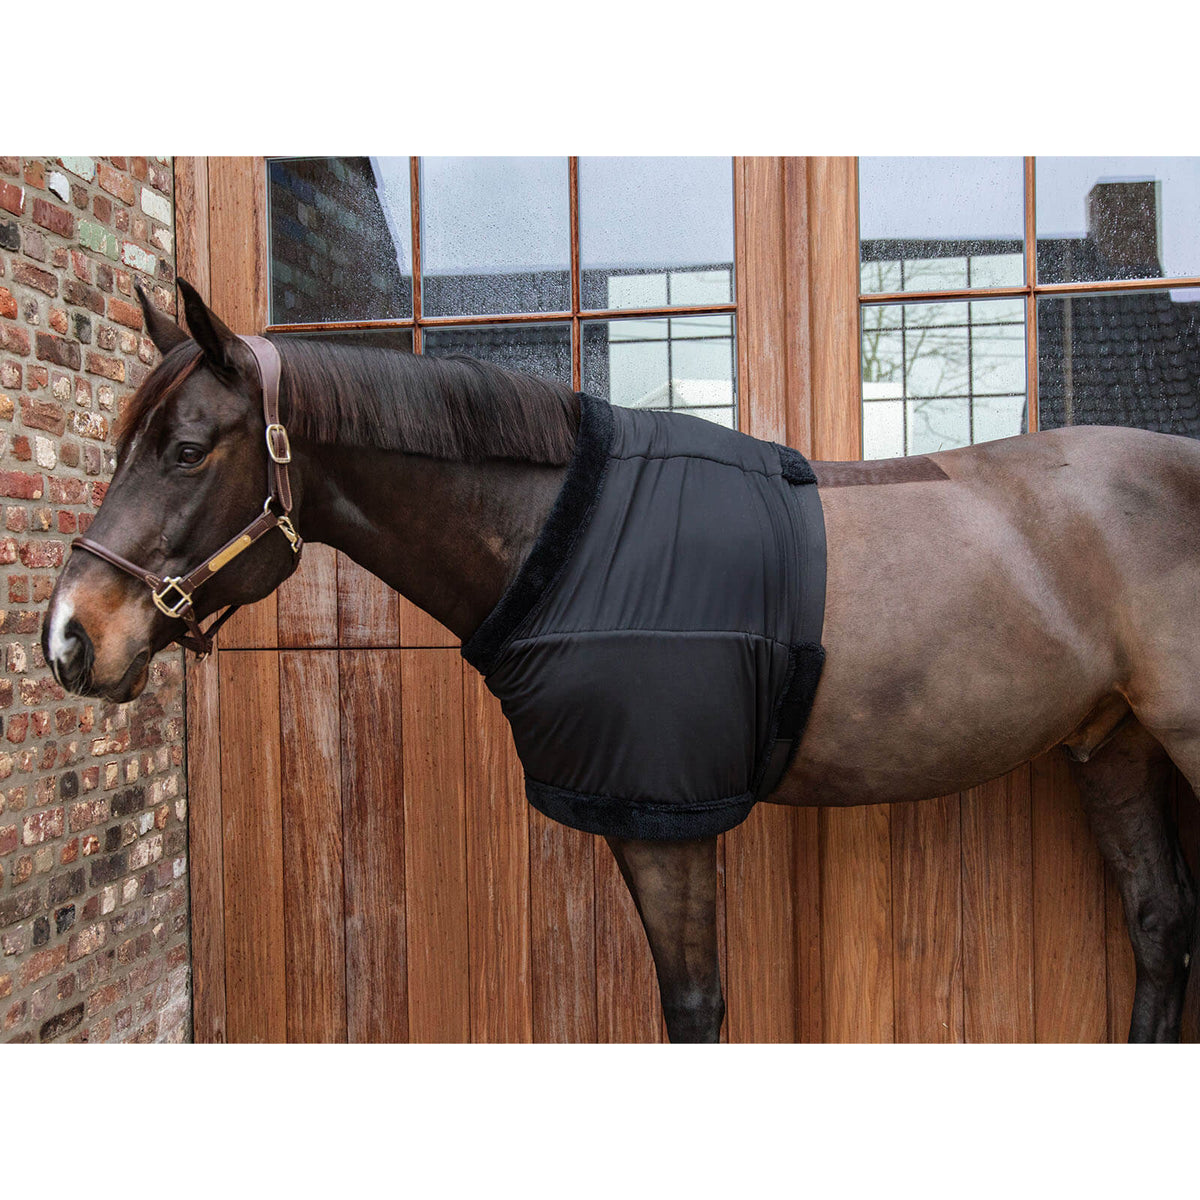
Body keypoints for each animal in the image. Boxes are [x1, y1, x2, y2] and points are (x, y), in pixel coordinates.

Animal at [42, 279, 1200, 1043]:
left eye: (188, 450)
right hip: (1113, 746)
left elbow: (694, 1010)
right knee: (1159, 932)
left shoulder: (664, 817)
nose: (69, 638)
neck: (569, 531)